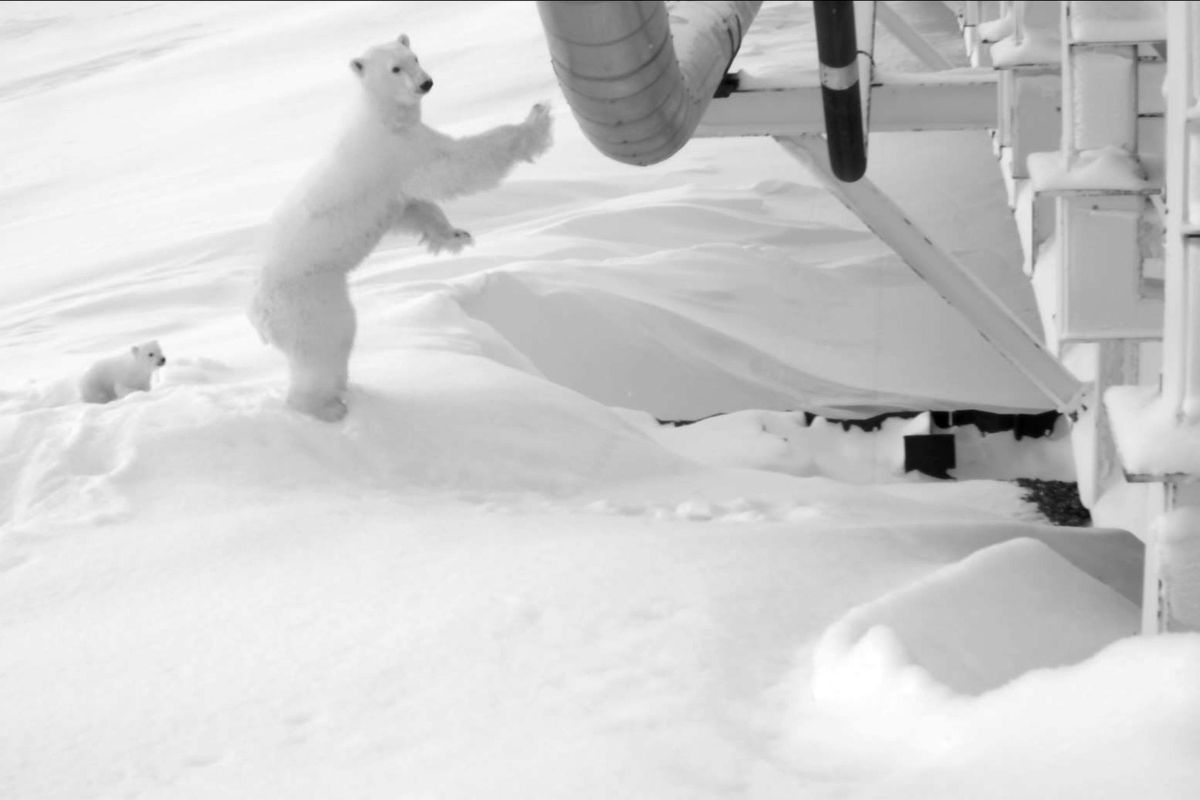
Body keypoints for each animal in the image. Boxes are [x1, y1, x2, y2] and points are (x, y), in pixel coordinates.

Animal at [248, 33, 553, 422]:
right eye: (395, 68)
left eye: (415, 56)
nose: (426, 83)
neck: (382, 118)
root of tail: (258, 314)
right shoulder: (398, 152)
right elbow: (453, 166)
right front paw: (537, 119)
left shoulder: (396, 172)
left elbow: (412, 207)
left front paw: (454, 236)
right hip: (308, 299)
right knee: (328, 343)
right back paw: (326, 408)